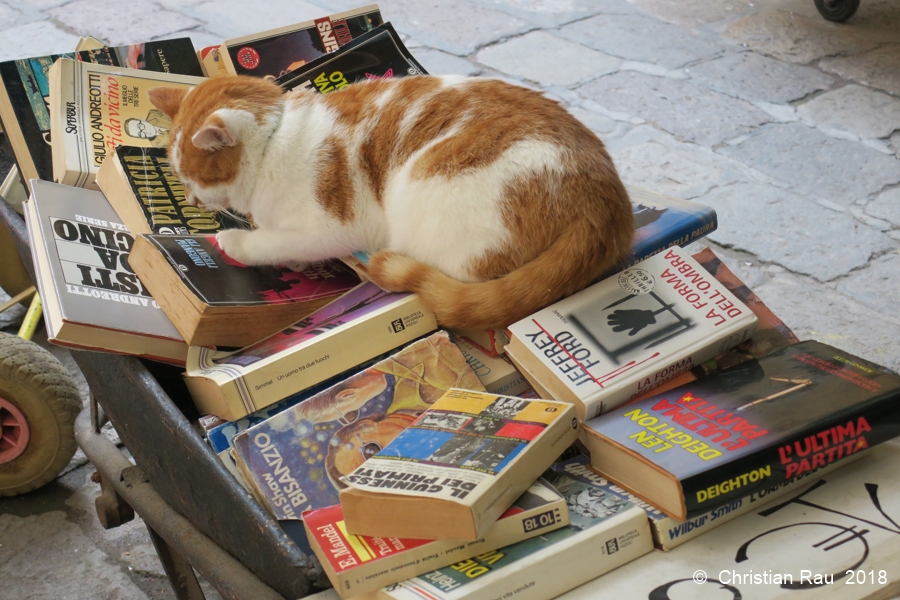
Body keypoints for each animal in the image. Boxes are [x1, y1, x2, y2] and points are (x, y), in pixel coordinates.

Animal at [148, 75, 632, 330]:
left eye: (187, 175)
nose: (190, 198)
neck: (276, 137)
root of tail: (605, 201)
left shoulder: (329, 227)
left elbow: (272, 241)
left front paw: (234, 241)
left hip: (427, 194)